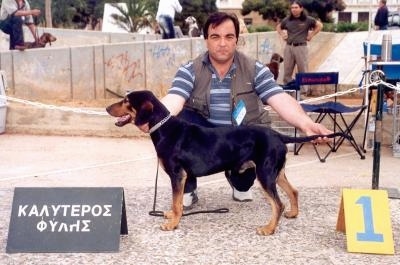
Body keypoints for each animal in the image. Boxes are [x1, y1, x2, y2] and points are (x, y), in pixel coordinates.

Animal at [106, 91, 340, 235]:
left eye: (126, 101)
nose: (107, 108)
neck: (164, 128)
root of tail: (279, 135)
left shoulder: (177, 174)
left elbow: (176, 201)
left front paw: (172, 223)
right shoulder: (181, 177)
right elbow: (177, 202)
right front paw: (173, 216)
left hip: (265, 175)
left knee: (278, 204)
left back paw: (269, 229)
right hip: (276, 172)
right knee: (293, 192)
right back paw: (293, 213)